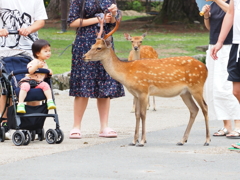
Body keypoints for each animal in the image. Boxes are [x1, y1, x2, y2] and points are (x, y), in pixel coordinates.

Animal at [83, 15, 210, 147]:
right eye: (91, 46)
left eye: (99, 48)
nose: (84, 56)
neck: (127, 72)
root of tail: (205, 68)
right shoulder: (136, 94)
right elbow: (137, 114)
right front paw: (134, 141)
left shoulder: (143, 90)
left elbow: (143, 114)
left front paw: (142, 141)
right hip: (185, 92)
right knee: (194, 109)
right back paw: (182, 140)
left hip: (197, 86)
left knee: (205, 108)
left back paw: (207, 140)